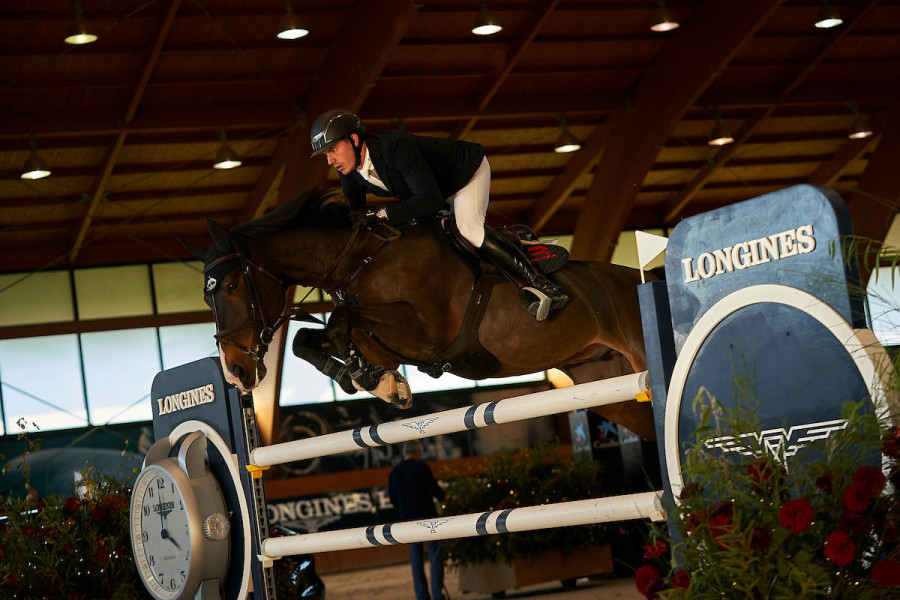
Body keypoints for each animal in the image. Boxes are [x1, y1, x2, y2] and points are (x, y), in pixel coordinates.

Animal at [185, 189, 660, 440]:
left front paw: (377, 379)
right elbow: (310, 338)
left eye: (231, 287)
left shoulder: (426, 334)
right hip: (608, 384)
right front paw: (367, 377)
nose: (236, 372)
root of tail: (644, 278)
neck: (361, 257)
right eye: (207, 299)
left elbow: (341, 322)